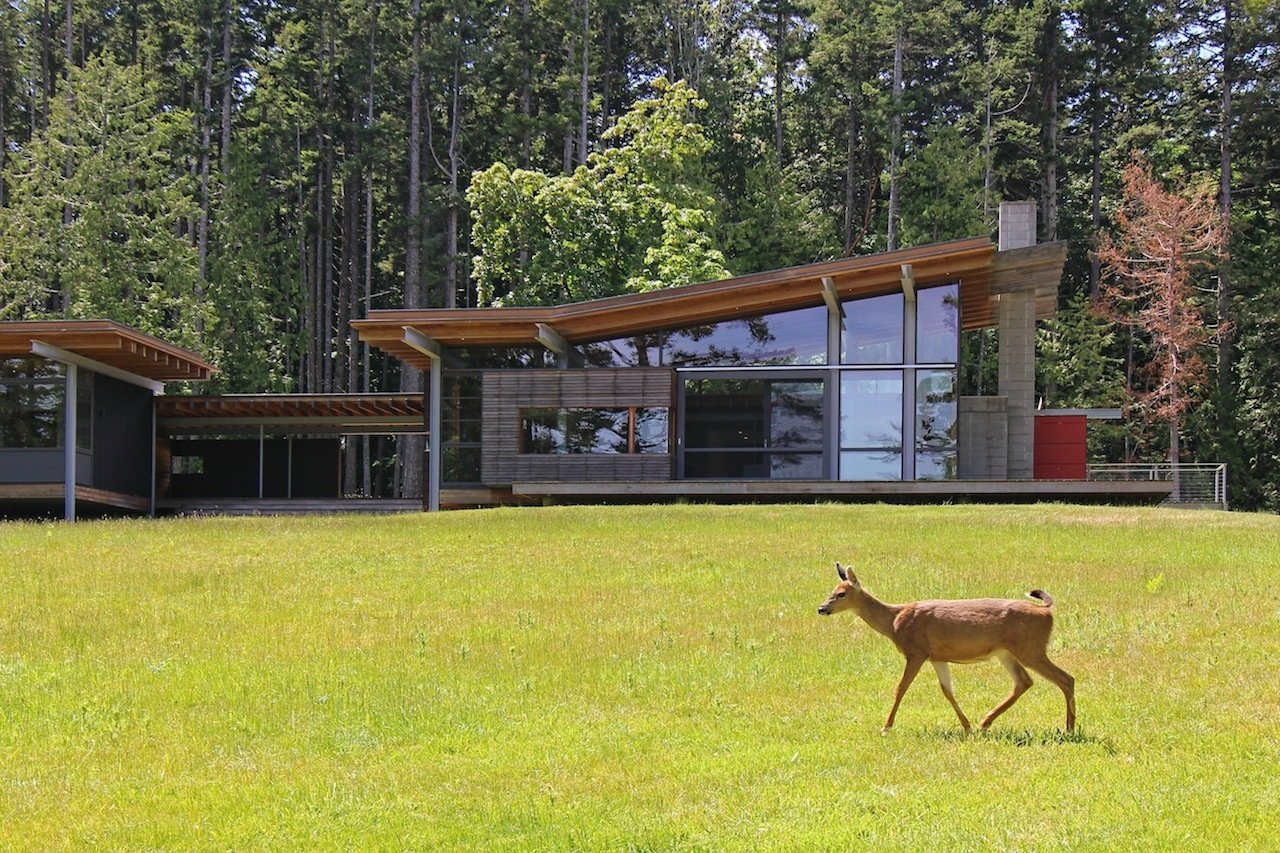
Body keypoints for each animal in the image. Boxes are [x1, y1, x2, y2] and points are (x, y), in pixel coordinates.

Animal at [814, 558, 1075, 732]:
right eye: (831, 591)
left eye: (841, 594)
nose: (821, 608)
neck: (895, 621)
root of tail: (1046, 611)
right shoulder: (937, 656)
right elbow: (947, 690)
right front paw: (966, 726)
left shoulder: (916, 651)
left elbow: (900, 688)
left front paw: (886, 727)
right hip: (1006, 652)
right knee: (1024, 681)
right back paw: (984, 722)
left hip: (1030, 647)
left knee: (1066, 678)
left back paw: (1069, 728)